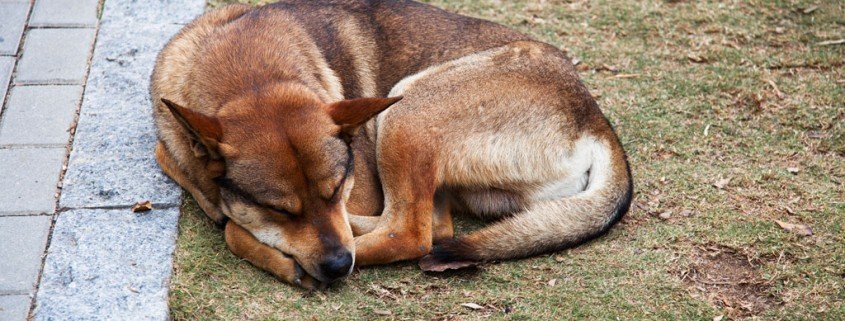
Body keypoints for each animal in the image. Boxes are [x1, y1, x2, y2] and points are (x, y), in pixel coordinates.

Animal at [152, 0, 628, 288]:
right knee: (432, 224)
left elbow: (234, 228)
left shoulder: (355, 192)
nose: (337, 267)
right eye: (279, 210)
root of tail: (593, 117)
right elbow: (171, 158)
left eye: (336, 188)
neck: (252, 76)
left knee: (413, 232)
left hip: (406, 110)